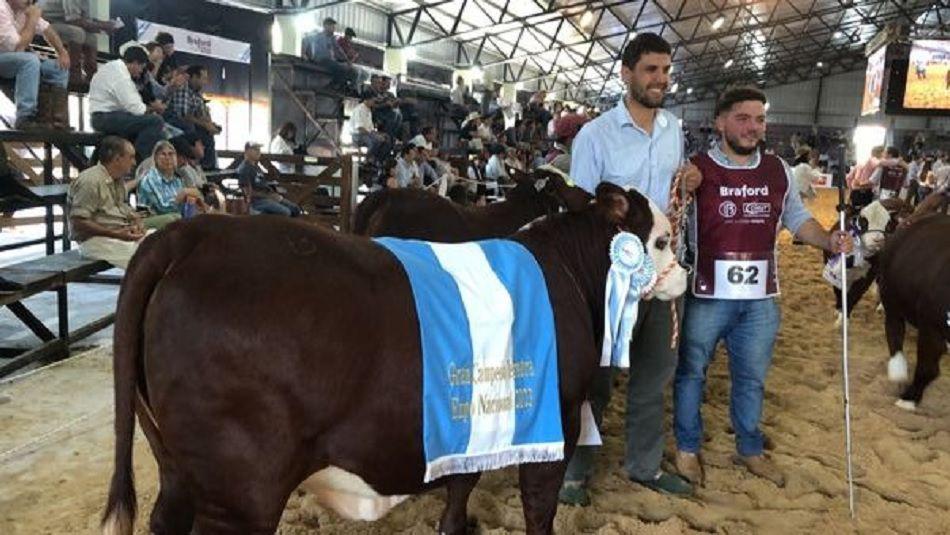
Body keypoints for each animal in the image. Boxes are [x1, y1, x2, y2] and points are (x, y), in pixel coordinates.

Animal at [102, 184, 684, 535]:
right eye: (660, 240)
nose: (684, 273)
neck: (566, 271)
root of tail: (190, 234)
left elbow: (461, 485)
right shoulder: (557, 416)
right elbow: (539, 508)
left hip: (173, 461)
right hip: (241, 484)